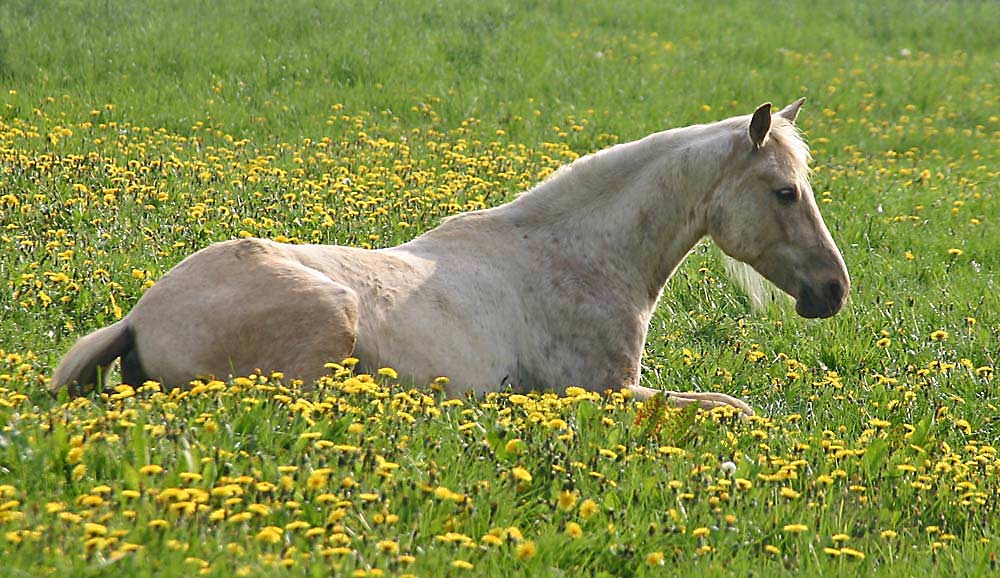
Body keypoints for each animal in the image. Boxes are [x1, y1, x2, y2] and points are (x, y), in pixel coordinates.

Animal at [52, 100, 852, 414]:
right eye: (785, 192)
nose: (834, 291)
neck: (579, 258)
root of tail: (140, 315)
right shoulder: (606, 396)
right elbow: (733, 409)